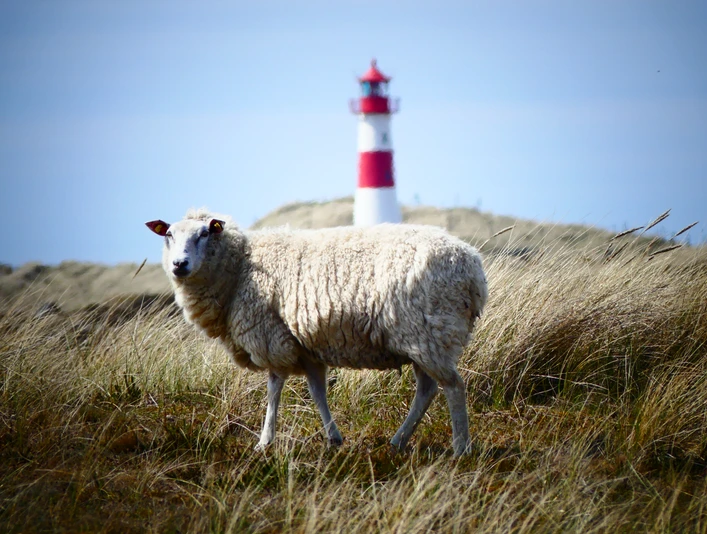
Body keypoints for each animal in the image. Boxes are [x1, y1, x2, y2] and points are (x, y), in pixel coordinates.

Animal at [146, 208, 488, 456]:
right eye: (169, 235)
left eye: (204, 233)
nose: (179, 264)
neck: (241, 266)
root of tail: (472, 269)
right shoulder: (306, 346)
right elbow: (317, 391)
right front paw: (333, 437)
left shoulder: (272, 335)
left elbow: (274, 388)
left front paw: (264, 442)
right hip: (422, 338)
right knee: (428, 389)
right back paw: (399, 441)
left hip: (430, 332)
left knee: (453, 387)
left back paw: (461, 447)